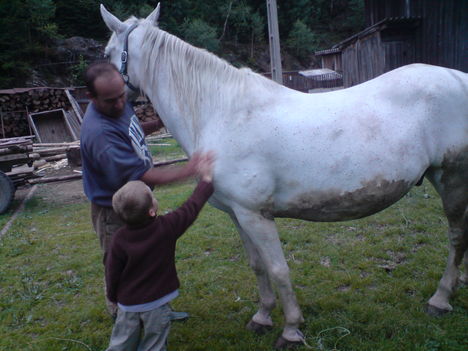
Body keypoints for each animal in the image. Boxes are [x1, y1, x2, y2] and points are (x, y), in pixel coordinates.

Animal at [99, 3, 468, 350]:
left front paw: (291, 329)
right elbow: (258, 266)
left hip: (452, 178)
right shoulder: (238, 214)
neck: (220, 112)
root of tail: (458, 78)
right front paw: (262, 317)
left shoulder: (256, 214)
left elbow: (279, 269)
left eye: (105, 54)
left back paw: (440, 299)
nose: (101, 96)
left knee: (456, 236)